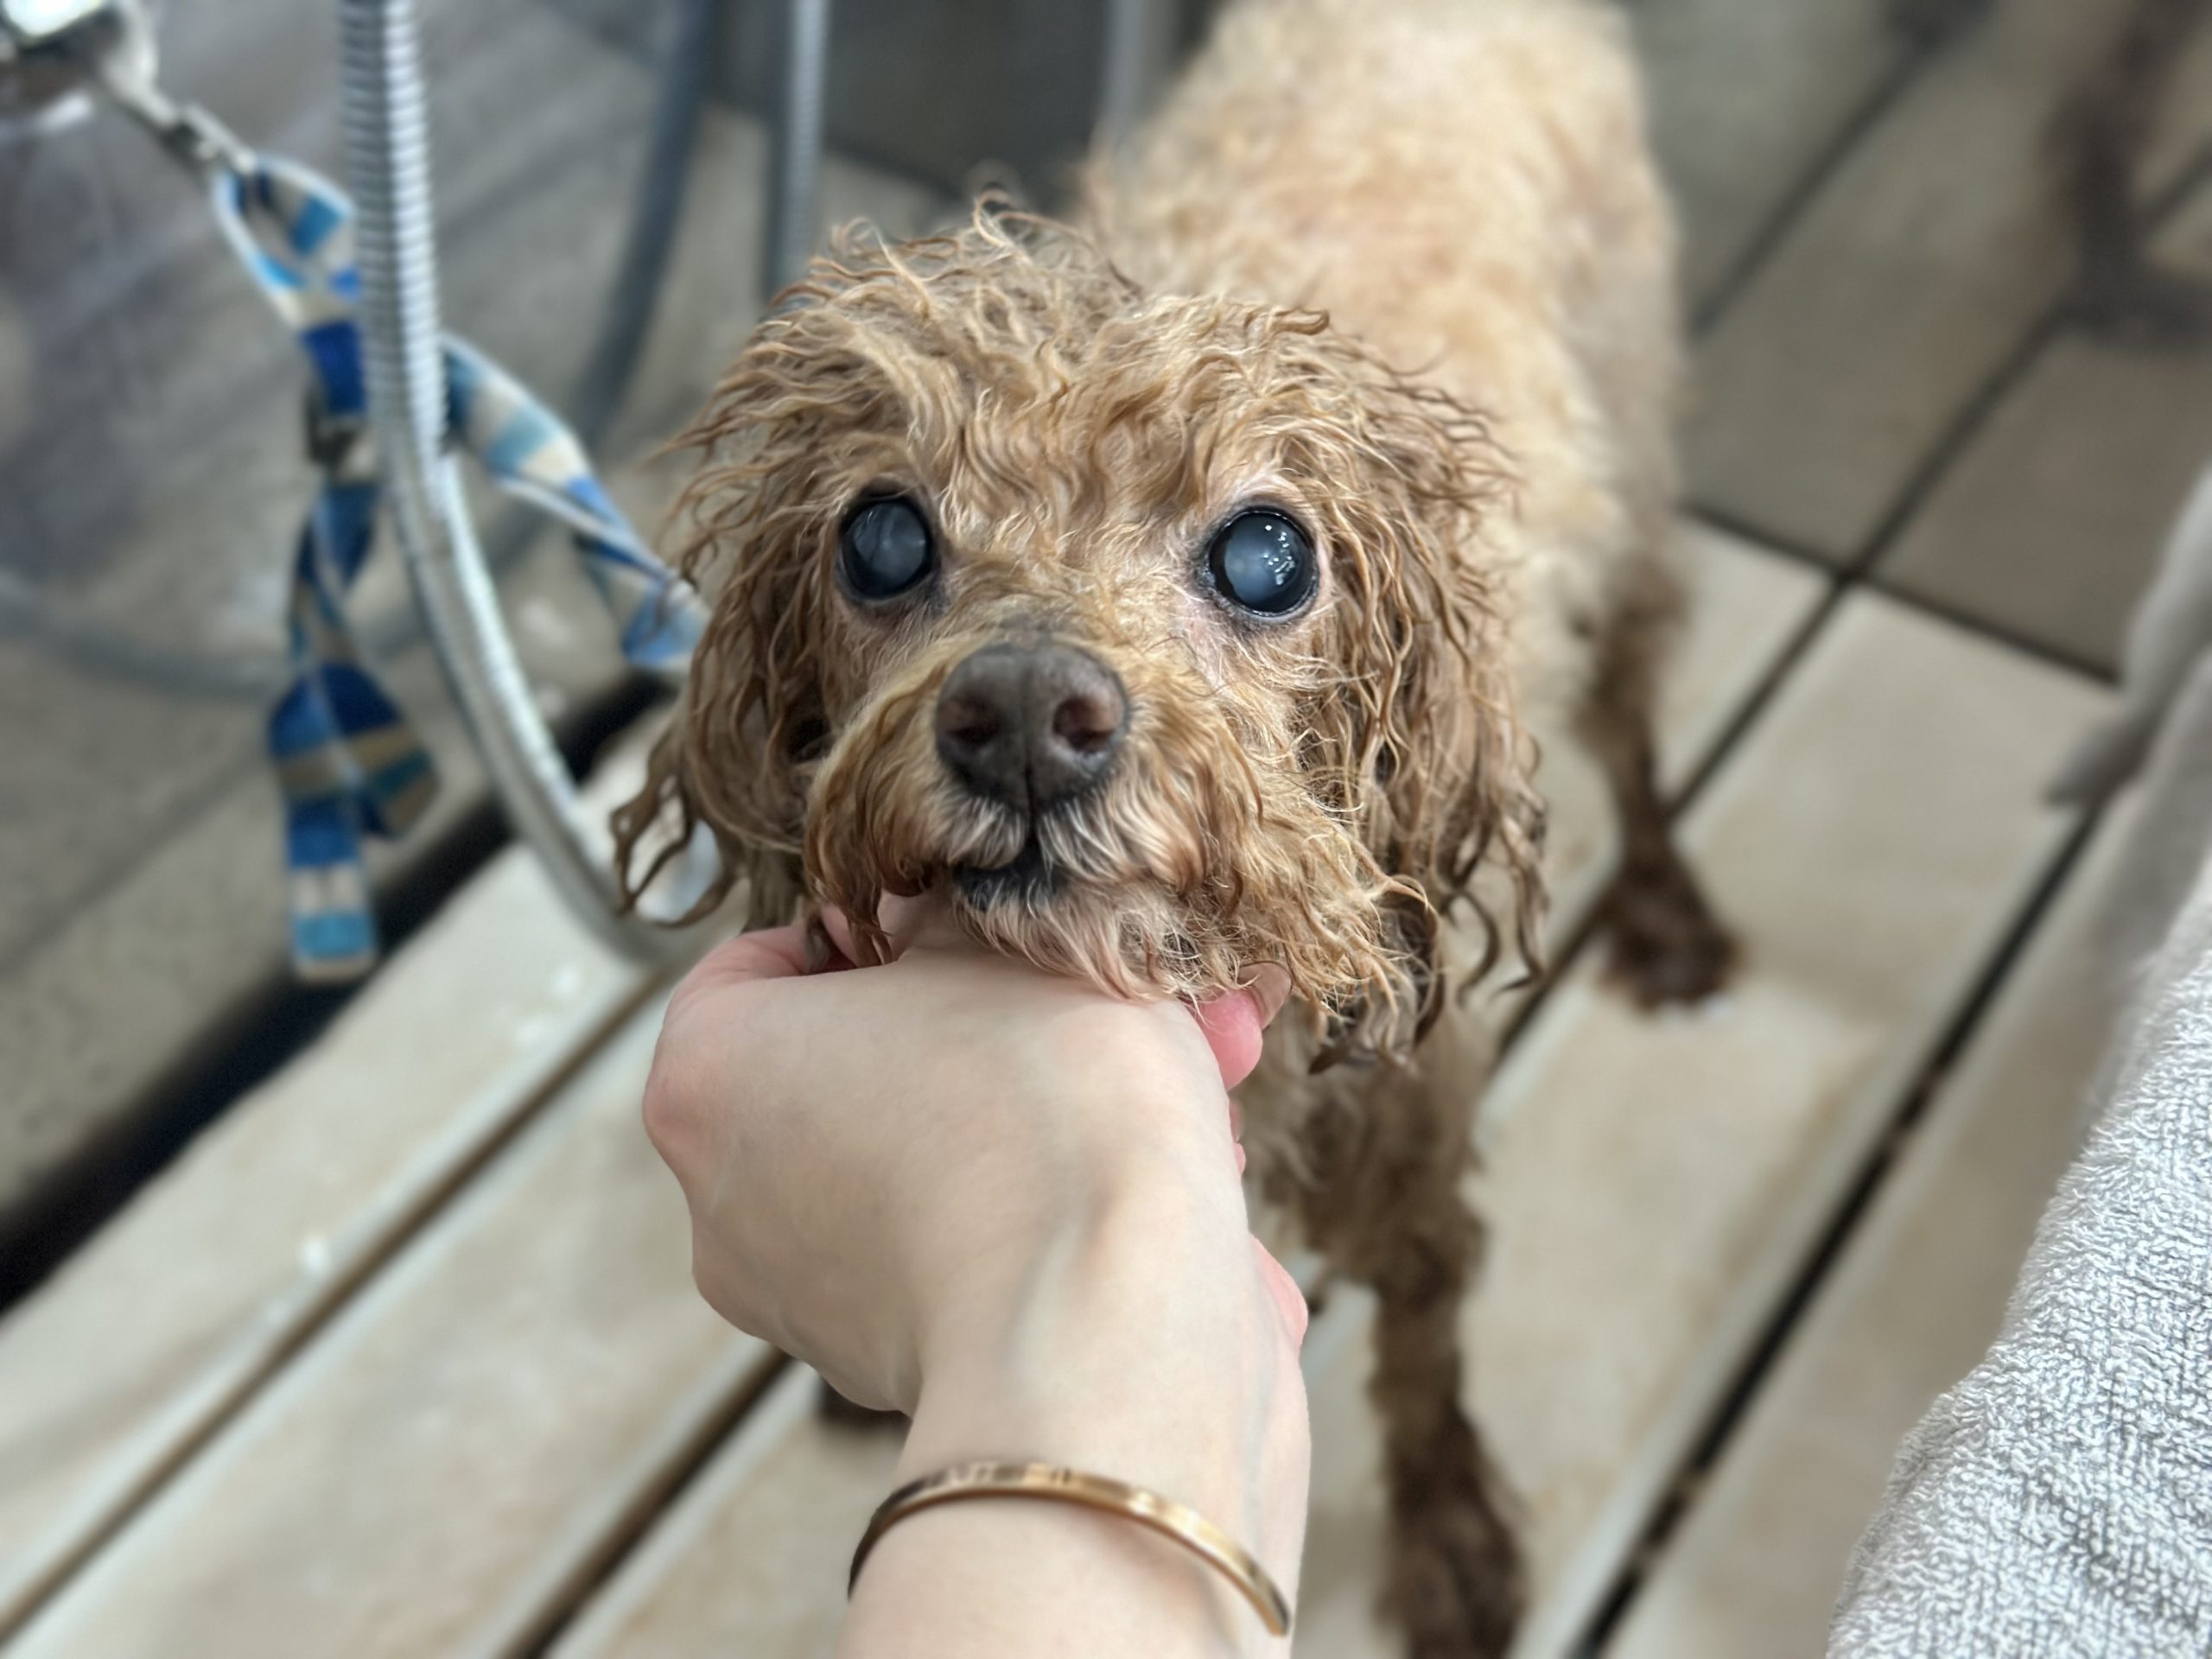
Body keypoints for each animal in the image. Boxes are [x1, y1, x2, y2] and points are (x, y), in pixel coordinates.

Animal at [614, 2, 1727, 1652]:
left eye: (1268, 557)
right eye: (880, 536)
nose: (1024, 711)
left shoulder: (1405, 1119)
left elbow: (1426, 1332)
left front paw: (1451, 1535)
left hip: (1637, 459)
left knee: (1639, 717)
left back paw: (1666, 909)